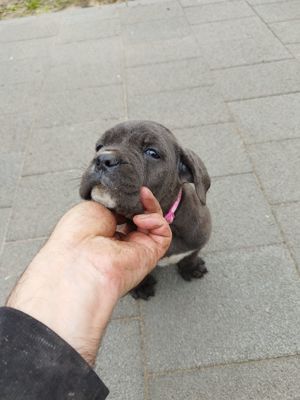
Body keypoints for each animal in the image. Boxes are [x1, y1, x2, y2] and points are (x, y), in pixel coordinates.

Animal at [79, 120, 211, 298]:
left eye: (152, 152)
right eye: (99, 146)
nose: (103, 158)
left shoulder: (199, 237)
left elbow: (191, 255)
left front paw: (192, 267)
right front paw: (141, 286)